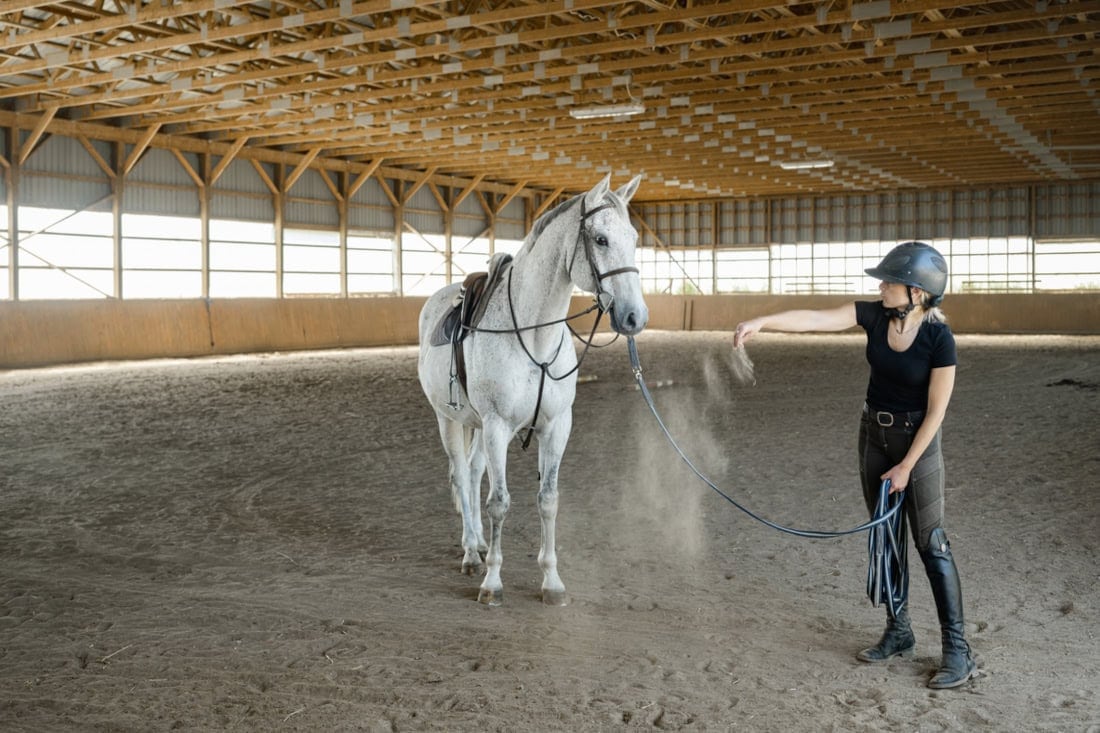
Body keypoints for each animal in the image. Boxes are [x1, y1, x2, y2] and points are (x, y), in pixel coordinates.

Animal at [417, 174, 648, 605]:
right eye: (601, 239)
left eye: (634, 237)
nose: (634, 317)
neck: (534, 336)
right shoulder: (497, 426)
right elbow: (499, 502)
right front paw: (492, 583)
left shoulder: (556, 427)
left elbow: (548, 500)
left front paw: (551, 581)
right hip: (449, 420)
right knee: (461, 475)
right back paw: (471, 552)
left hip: (477, 425)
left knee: (474, 472)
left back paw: (480, 545)